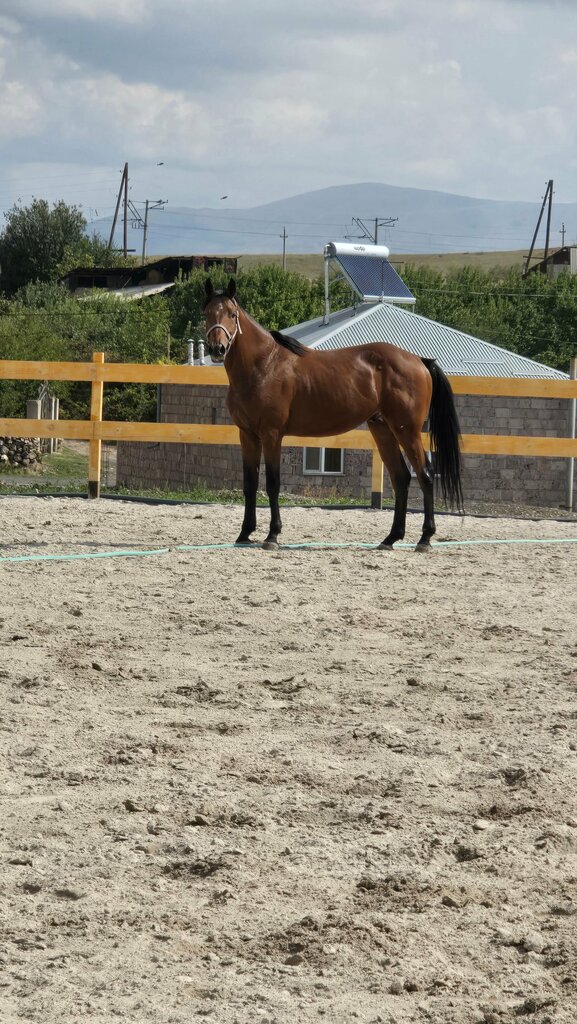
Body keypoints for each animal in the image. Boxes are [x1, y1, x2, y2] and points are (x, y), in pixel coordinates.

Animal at [203, 278, 463, 551]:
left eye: (232, 314)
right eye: (207, 313)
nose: (217, 348)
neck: (263, 365)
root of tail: (420, 360)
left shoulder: (272, 434)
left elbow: (272, 484)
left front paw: (272, 535)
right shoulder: (248, 435)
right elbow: (250, 483)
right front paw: (244, 534)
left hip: (407, 430)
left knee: (425, 475)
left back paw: (425, 538)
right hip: (382, 428)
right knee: (401, 477)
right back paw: (390, 538)